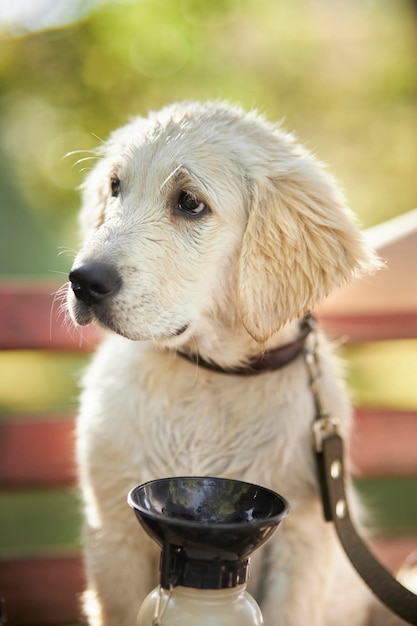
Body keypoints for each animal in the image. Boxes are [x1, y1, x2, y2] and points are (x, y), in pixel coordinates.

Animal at [67, 100, 380, 620]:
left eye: (189, 202)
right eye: (115, 187)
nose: (84, 280)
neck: (210, 380)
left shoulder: (302, 543)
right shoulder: (112, 531)